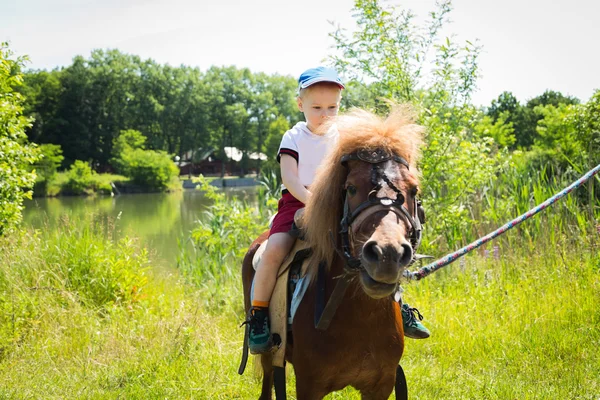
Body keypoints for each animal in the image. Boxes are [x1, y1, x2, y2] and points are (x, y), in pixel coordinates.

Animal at [241, 106, 424, 400]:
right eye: (350, 188)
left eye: (413, 189)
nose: (387, 254)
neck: (360, 316)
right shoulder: (308, 385)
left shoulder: (381, 385)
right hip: (269, 357)